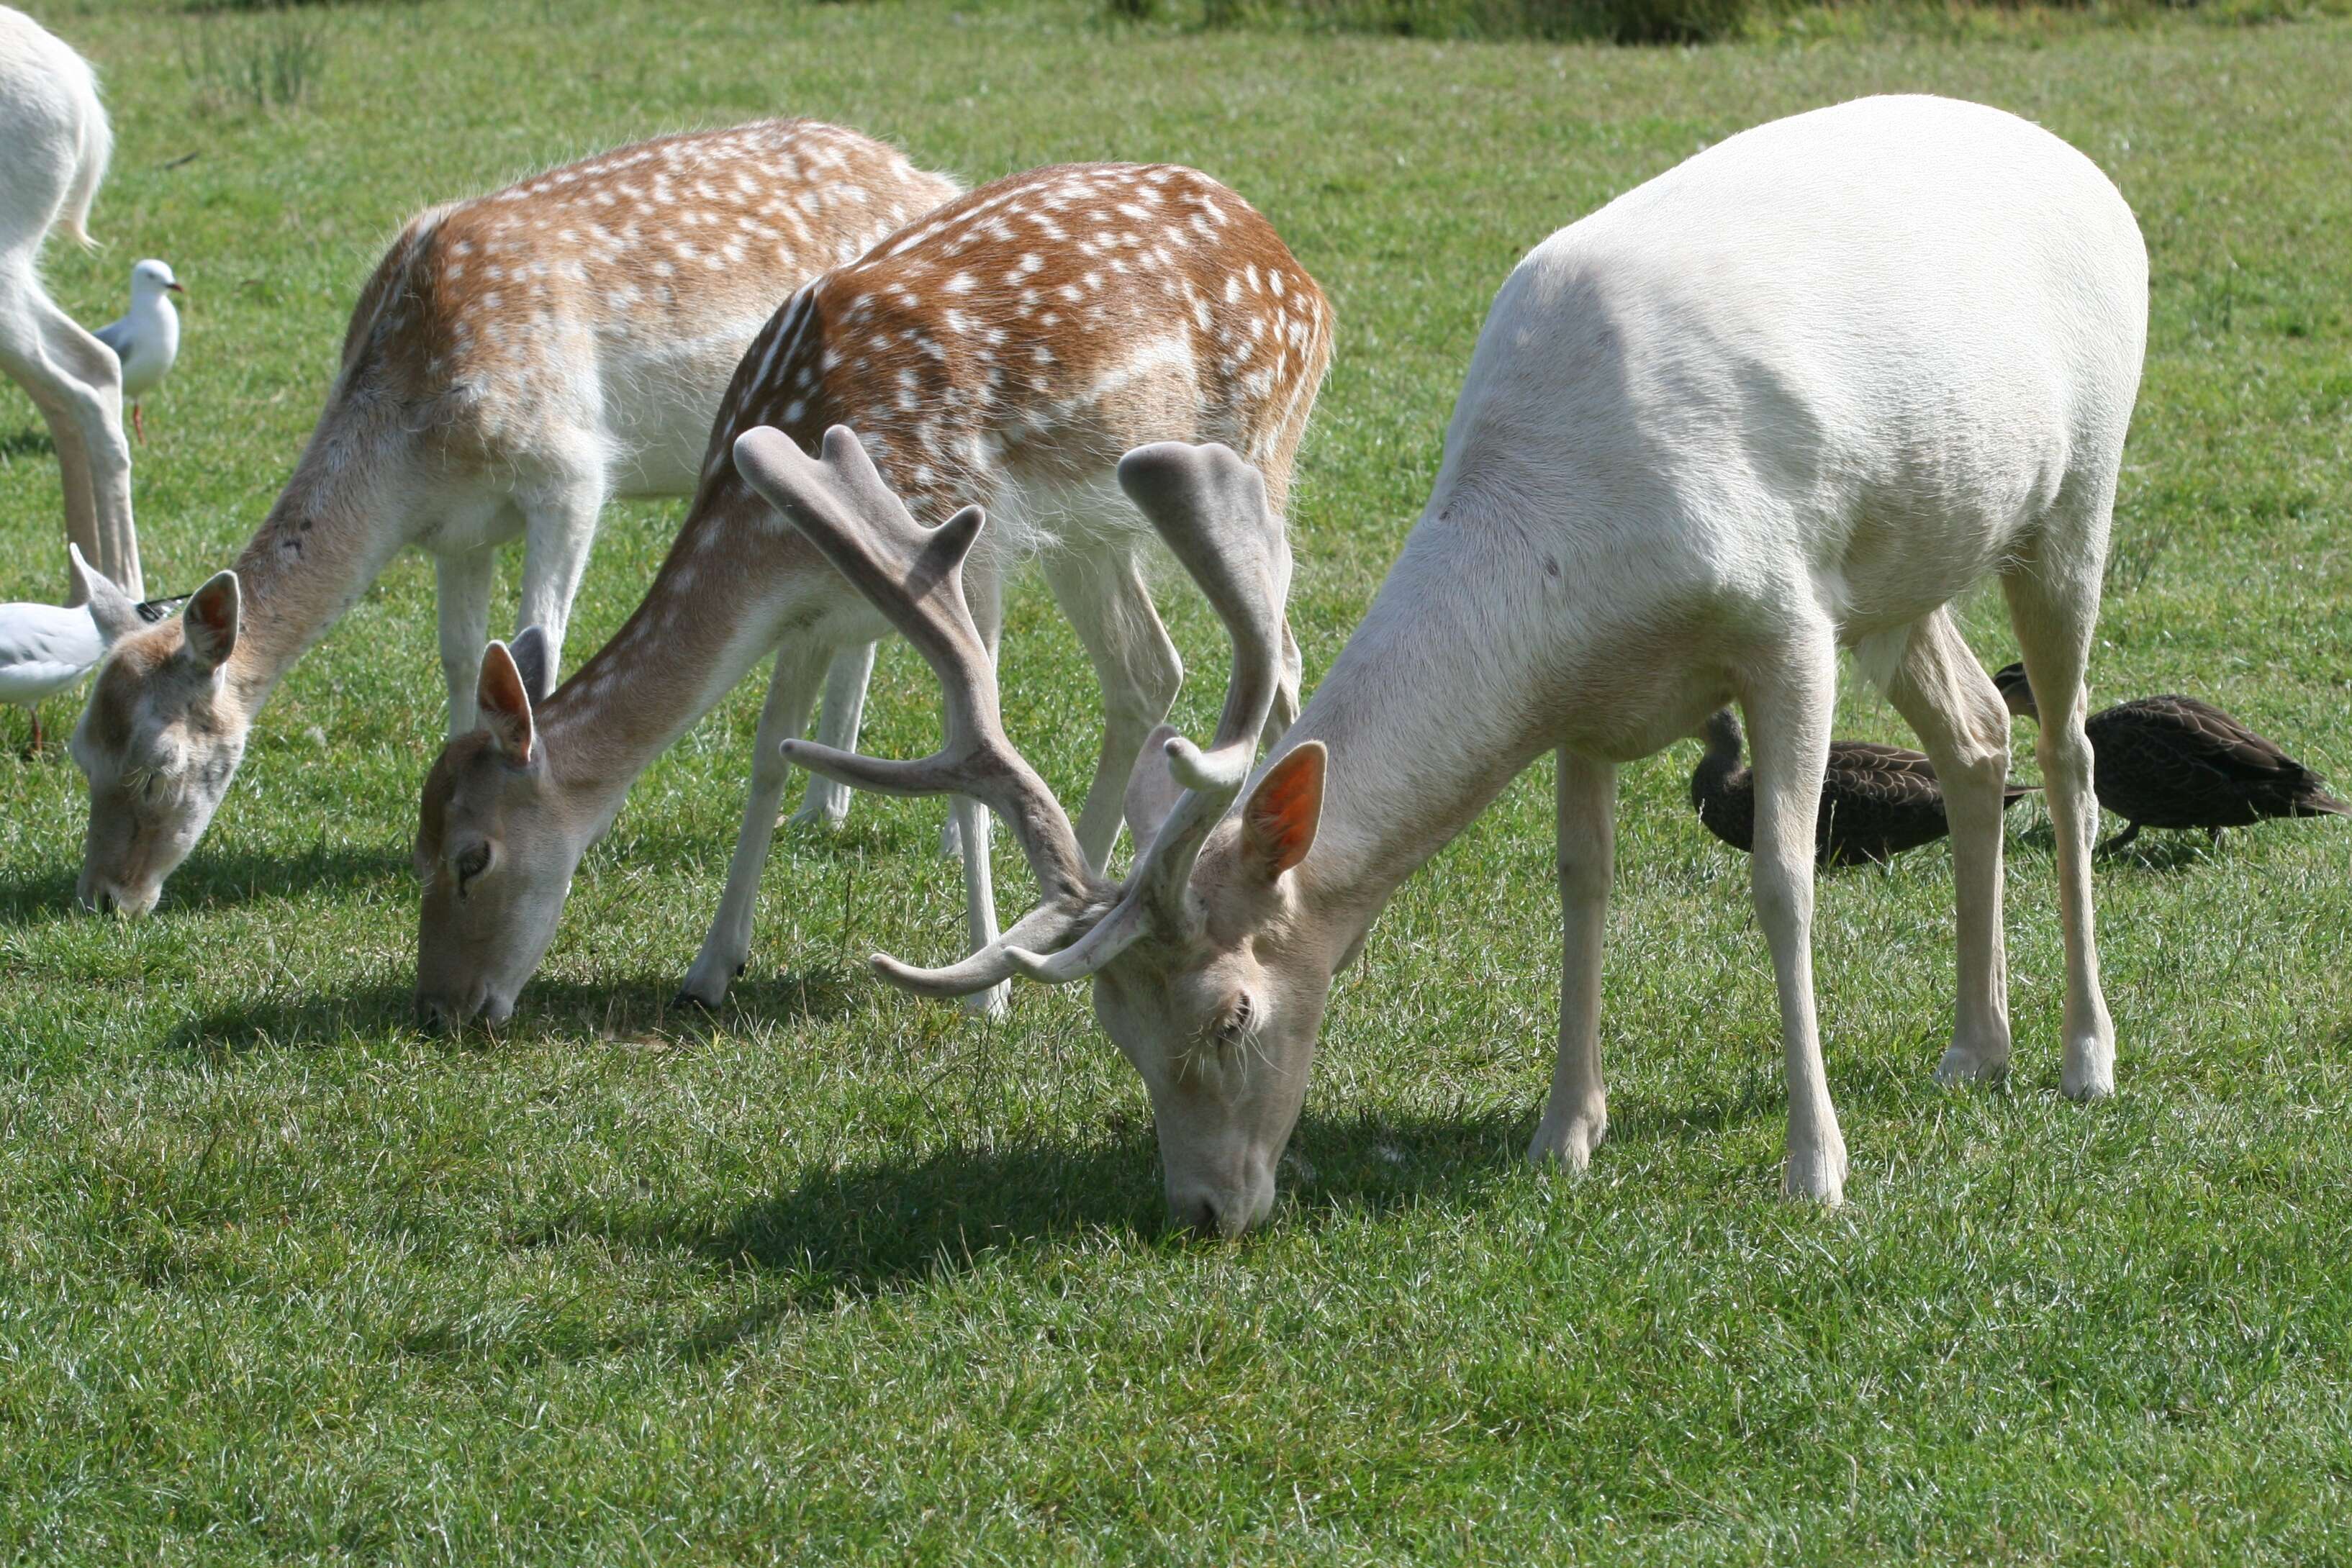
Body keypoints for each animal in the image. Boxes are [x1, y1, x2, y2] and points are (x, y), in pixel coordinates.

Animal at [73, 122, 954, 921]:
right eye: (81, 755)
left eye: (157, 767)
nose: (109, 899)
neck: (418, 442)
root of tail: (930, 178)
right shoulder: (457, 527)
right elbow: (461, 655)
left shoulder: (571, 475)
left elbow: (543, 646)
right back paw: (822, 809)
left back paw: (836, 811)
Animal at [414, 162, 1336, 1029]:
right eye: (417, 841)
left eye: (473, 856)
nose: (442, 1009)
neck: (770, 532)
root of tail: (1304, 278)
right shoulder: (810, 610)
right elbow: (769, 755)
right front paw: (710, 967)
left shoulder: (964, 548)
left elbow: (969, 771)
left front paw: (985, 995)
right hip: (1091, 530)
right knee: (1148, 668)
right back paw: (1088, 890)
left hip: (1260, 452)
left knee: (1282, 656)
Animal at [748, 95, 2154, 1241]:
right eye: (1116, 1028)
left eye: (1229, 1015)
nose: (1202, 1209)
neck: (1573, 542)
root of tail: (2087, 166)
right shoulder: (1592, 699)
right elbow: (1581, 885)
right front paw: (1561, 1133)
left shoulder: (1785, 621)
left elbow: (1781, 881)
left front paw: (1816, 1165)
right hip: (1902, 577)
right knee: (1973, 734)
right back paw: (1973, 1046)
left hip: (2071, 497)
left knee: (2067, 747)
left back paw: (2084, 1053)